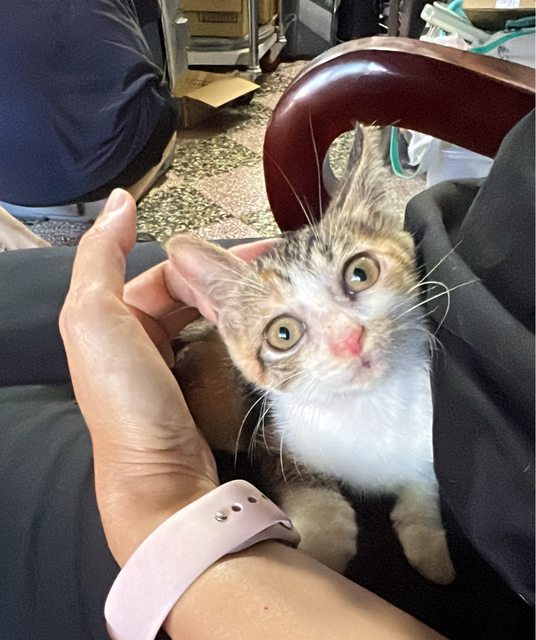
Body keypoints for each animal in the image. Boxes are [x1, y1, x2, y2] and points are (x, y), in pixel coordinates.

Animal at [167, 127, 456, 585]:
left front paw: (431, 548)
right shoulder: (274, 441)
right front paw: (324, 557)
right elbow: (316, 502)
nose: (348, 338)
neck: (366, 404)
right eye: (283, 333)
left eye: (361, 273)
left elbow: (425, 482)